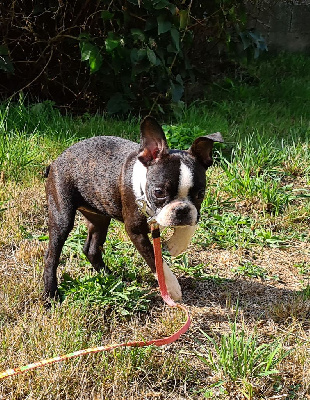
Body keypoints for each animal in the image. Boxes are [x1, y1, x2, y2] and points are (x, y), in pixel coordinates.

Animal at [43, 117, 223, 302]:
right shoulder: (136, 231)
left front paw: (175, 245)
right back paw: (51, 293)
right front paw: (171, 286)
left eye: (201, 194)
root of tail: (55, 161)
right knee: (51, 256)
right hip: (62, 216)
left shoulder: (193, 212)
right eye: (159, 192)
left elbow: (190, 225)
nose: (181, 210)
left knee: (91, 248)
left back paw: (109, 276)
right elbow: (155, 260)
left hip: (100, 218)